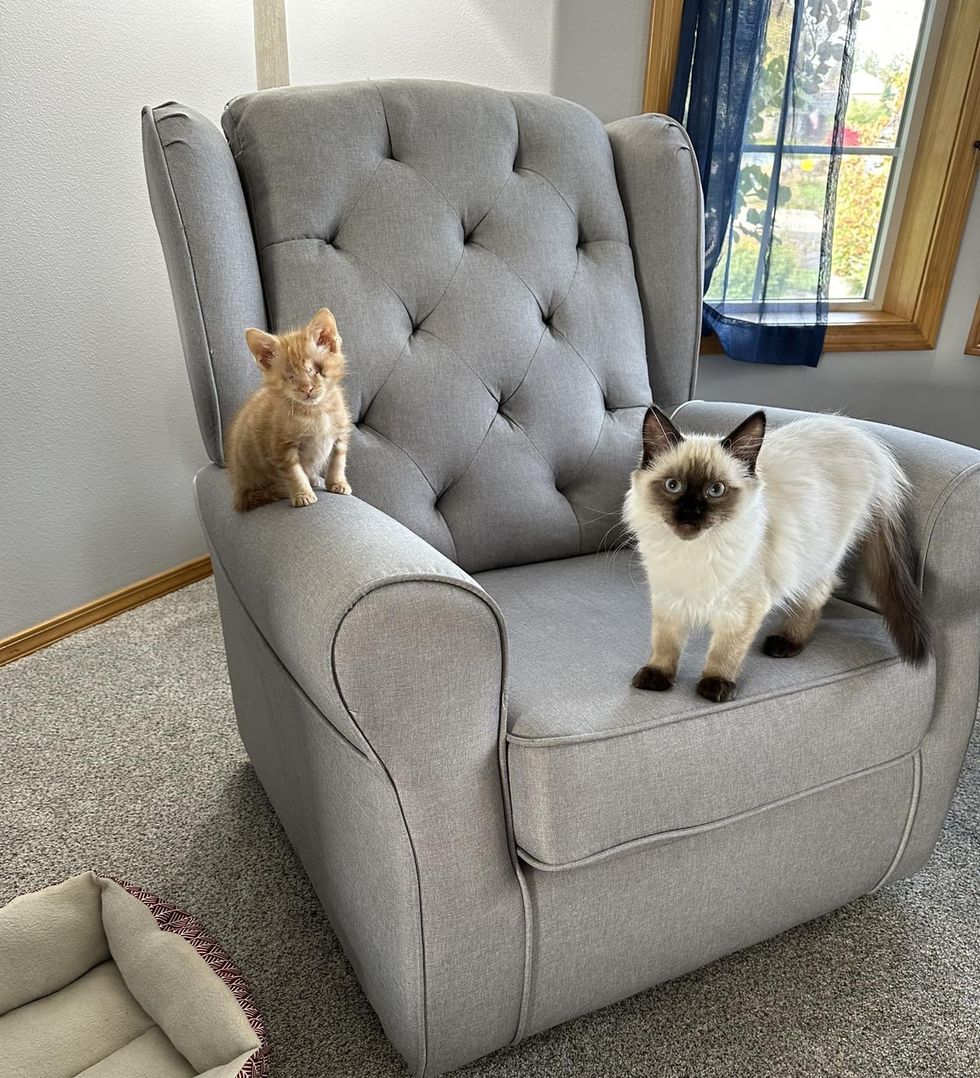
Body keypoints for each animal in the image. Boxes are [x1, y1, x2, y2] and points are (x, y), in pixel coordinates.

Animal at [227, 306, 353, 510]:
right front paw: (303, 494)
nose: (307, 388)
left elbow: (338, 461)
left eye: (316, 370)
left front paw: (337, 483)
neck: (316, 412)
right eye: (290, 377)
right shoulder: (281, 446)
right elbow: (294, 472)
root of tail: (239, 492)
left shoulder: (340, 435)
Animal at [625, 407, 927, 702]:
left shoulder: (743, 609)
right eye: (673, 486)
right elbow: (665, 642)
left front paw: (715, 685)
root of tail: (861, 436)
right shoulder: (668, 598)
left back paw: (786, 642)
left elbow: (725, 651)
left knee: (820, 591)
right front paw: (656, 677)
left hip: (819, 555)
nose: (690, 513)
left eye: (716, 490)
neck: (692, 553)